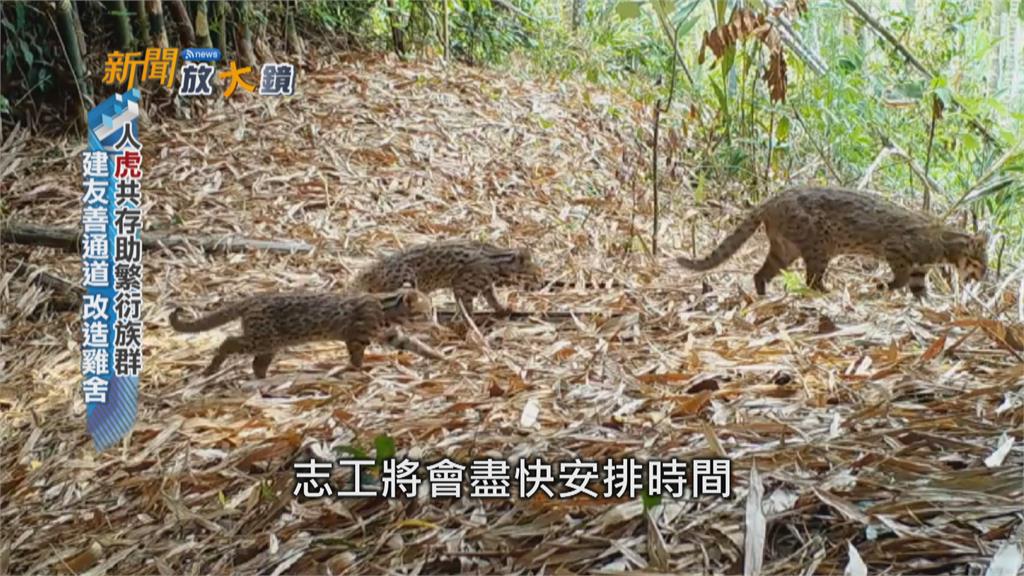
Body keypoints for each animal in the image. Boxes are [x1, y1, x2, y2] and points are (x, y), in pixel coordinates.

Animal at [168, 286, 440, 377]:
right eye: (426, 313)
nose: (435, 324)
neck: (386, 309)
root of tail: (252, 299)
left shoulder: (391, 334)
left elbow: (416, 345)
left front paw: (439, 356)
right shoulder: (356, 336)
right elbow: (356, 357)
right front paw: (358, 370)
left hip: (270, 344)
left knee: (257, 365)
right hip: (261, 338)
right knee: (228, 341)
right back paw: (212, 368)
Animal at [350, 236, 544, 317]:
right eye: (536, 275)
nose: (542, 284)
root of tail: (373, 267)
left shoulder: (485, 285)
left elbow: (492, 299)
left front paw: (502, 309)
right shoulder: (462, 286)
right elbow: (466, 308)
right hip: (406, 282)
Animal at [675, 186, 987, 297]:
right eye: (983, 264)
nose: (984, 277)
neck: (944, 246)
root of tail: (772, 199)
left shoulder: (918, 270)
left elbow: (918, 288)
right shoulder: (896, 249)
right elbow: (899, 279)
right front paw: (883, 286)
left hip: (785, 250)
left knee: (760, 274)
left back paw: (763, 295)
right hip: (819, 246)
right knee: (811, 280)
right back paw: (827, 291)